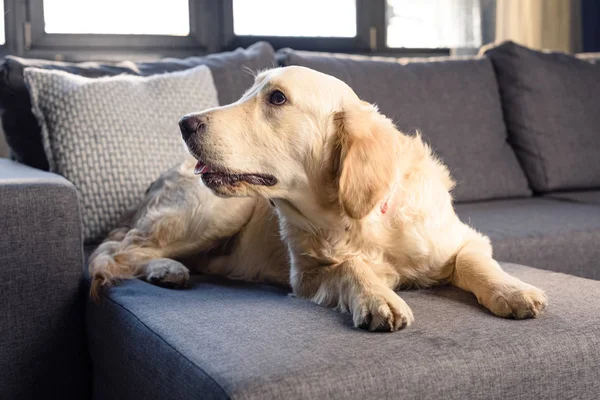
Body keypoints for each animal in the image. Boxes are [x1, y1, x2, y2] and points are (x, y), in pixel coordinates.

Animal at [90, 65, 548, 332]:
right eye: (248, 92)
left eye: (276, 98)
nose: (184, 123)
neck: (361, 217)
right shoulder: (307, 275)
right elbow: (349, 267)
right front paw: (378, 297)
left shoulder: (465, 239)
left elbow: (474, 262)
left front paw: (513, 292)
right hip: (217, 210)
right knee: (117, 251)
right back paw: (164, 268)